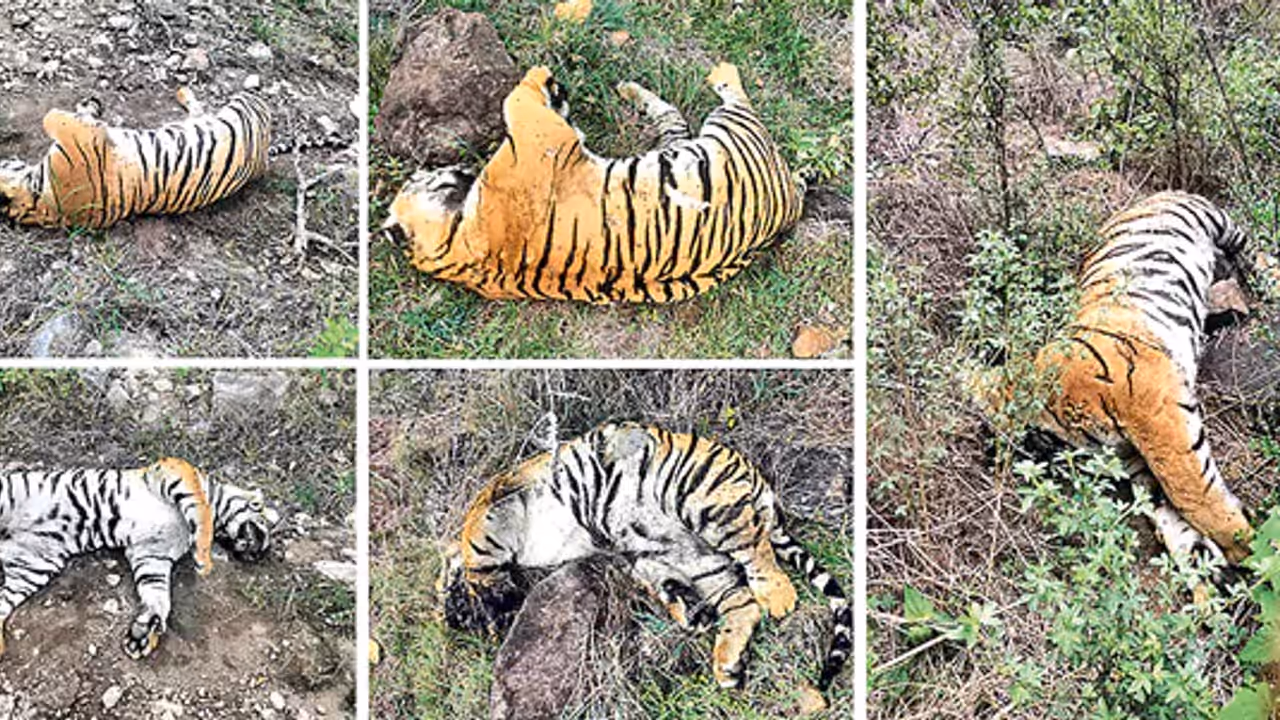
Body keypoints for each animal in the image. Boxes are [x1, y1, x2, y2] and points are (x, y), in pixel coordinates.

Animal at [0, 87, 271, 229]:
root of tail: (264, 159)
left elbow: (56, 116)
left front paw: (90, 105)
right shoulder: (85, 137)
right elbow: (52, 116)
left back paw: (182, 92)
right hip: (243, 107)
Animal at [0, 457, 277, 659]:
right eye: (264, 518)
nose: (259, 553)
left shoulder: (152, 554)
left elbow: (157, 594)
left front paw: (144, 633)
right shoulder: (174, 472)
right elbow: (201, 511)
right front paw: (203, 559)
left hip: (32, 566)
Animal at [385, 62, 804, 303]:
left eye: (419, 176)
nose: (457, 168)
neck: (456, 247)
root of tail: (788, 203)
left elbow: (529, 104)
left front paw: (554, 88)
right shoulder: (542, 139)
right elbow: (516, 99)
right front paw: (542, 76)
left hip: (685, 144)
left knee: (673, 116)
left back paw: (628, 87)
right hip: (729, 130)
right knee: (733, 97)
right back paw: (718, 70)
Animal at [438, 421, 851, 691]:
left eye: (442, 601)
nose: (448, 622)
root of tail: (756, 478)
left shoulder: (494, 504)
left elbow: (473, 544)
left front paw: (481, 593)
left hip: (702, 499)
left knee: (755, 548)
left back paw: (779, 597)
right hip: (681, 555)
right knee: (739, 602)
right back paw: (722, 658)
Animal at [1007, 191, 1253, 565]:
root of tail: (1151, 196)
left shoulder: (1158, 419)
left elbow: (1190, 491)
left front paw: (1248, 548)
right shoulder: (1136, 456)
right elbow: (1165, 505)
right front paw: (1203, 562)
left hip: (1213, 219)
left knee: (1252, 248)